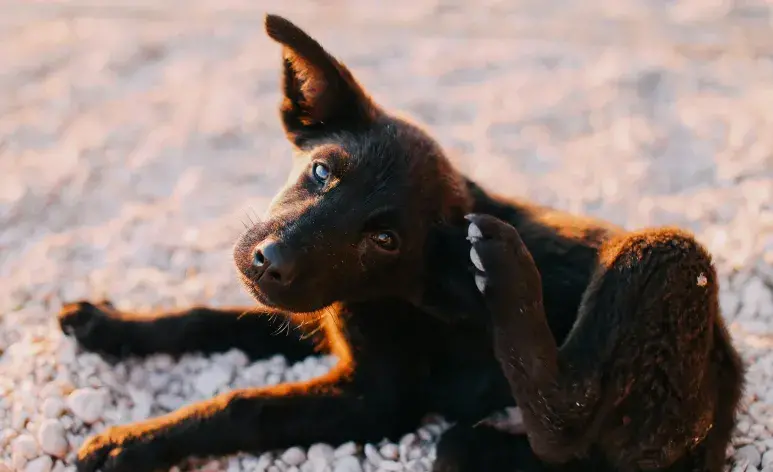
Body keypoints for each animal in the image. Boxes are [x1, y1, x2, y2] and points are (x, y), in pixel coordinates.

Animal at [57, 13, 744, 472]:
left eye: (385, 239)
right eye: (321, 172)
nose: (268, 262)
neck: (388, 291)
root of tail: (727, 386)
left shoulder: (374, 400)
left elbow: (245, 406)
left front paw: (132, 443)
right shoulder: (312, 317)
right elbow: (205, 318)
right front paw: (108, 324)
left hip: (664, 257)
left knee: (564, 422)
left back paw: (507, 274)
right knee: (477, 447)